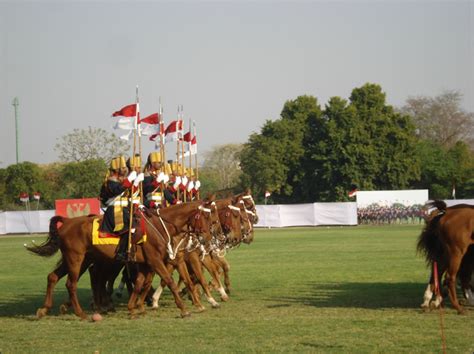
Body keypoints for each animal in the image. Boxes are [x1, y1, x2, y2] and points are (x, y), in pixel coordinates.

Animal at [26, 199, 216, 320]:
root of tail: (67, 222)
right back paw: (82, 312)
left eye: (211, 218)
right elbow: (169, 281)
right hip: (76, 259)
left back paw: (45, 309)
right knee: (72, 284)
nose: (208, 239)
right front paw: (183, 309)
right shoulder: (155, 261)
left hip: (78, 260)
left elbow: (140, 284)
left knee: (53, 277)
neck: (160, 227)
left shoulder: (146, 264)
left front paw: (134, 308)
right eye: (206, 217)